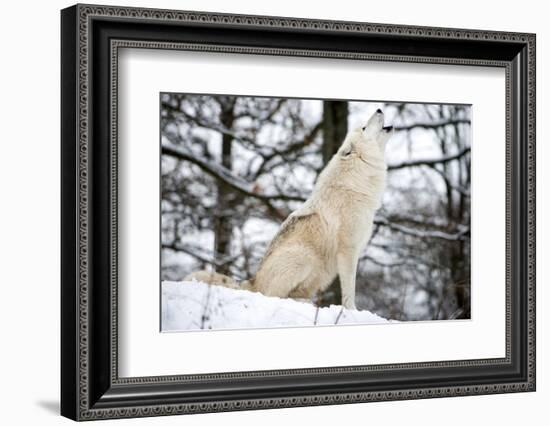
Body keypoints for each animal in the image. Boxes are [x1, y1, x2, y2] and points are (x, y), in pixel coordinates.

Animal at [188, 109, 394, 310]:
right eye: (364, 127)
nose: (379, 108)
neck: (355, 183)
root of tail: (253, 282)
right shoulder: (348, 250)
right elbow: (350, 288)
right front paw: (351, 310)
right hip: (305, 257)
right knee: (274, 296)